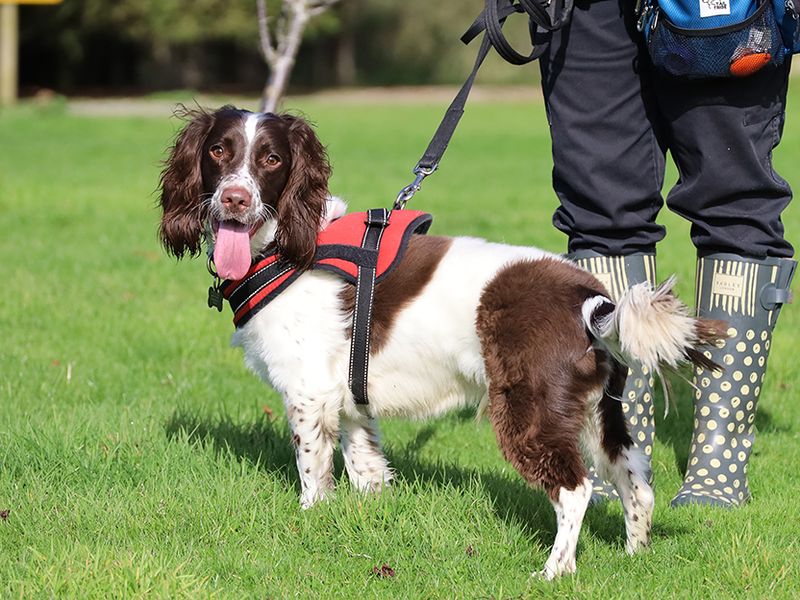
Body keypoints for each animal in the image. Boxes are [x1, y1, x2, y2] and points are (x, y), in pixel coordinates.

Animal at [159, 105, 720, 580]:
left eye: (271, 159)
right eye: (218, 151)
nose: (235, 198)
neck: (288, 245)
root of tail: (592, 298)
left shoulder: (309, 393)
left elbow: (313, 475)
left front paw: (309, 521)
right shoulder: (350, 399)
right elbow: (366, 470)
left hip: (530, 410)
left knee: (575, 490)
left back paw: (554, 571)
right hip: (599, 412)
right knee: (637, 480)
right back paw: (635, 557)